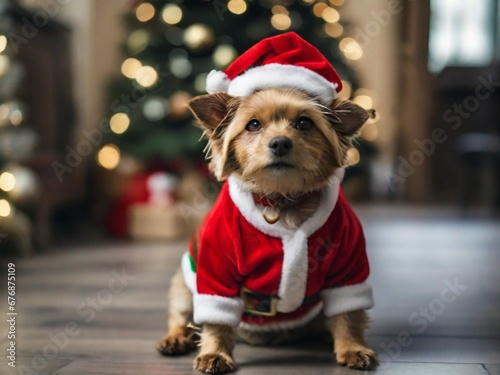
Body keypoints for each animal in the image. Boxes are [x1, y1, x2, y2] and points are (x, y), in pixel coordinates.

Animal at [156, 31, 378, 374]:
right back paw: (176, 338)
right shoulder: (216, 268)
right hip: (183, 282)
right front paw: (215, 354)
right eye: (253, 125)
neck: (281, 199)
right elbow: (216, 320)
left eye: (305, 123)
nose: (280, 143)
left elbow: (349, 313)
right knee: (182, 315)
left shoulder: (349, 265)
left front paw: (353, 347)